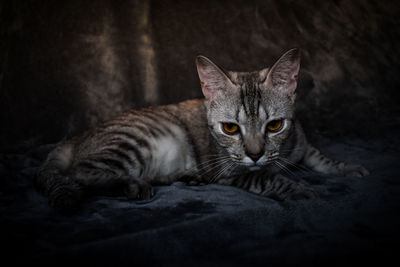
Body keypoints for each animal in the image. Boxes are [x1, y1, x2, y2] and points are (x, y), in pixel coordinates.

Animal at [36, 48, 370, 214]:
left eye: (275, 125)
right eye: (230, 128)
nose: (255, 154)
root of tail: (78, 138)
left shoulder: (300, 141)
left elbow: (321, 157)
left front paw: (348, 168)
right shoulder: (230, 171)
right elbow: (266, 177)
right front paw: (299, 189)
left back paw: (184, 177)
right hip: (132, 143)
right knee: (81, 173)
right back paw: (132, 184)